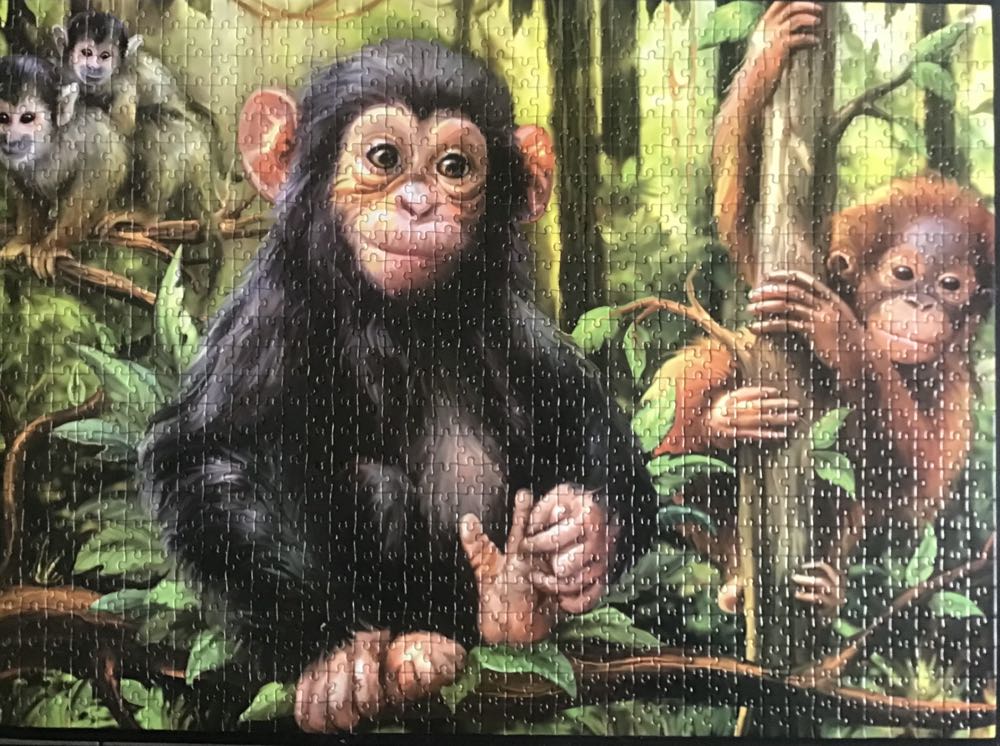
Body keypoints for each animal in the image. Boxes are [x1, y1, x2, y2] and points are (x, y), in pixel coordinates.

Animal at [0, 55, 129, 279]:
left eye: (27, 118)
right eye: (3, 118)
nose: (10, 139)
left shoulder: (89, 131)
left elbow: (107, 165)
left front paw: (51, 245)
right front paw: (25, 238)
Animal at [140, 40, 659, 733]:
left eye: (454, 167)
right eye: (383, 157)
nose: (418, 203)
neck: (397, 317)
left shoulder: (510, 322)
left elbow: (587, 416)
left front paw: (586, 530)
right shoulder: (267, 311)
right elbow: (200, 454)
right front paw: (330, 652)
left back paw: (512, 600)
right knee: (374, 485)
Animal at [646, 1, 995, 615]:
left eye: (951, 285)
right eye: (903, 274)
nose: (921, 302)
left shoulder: (952, 381)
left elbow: (918, 480)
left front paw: (840, 333)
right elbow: (745, 231)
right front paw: (769, 50)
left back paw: (824, 583)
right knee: (699, 386)